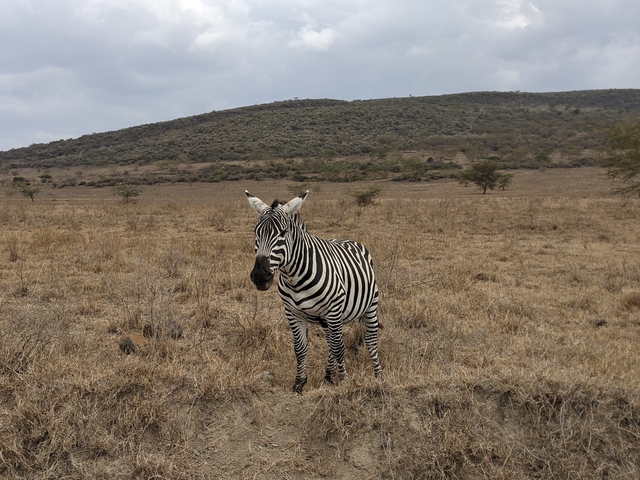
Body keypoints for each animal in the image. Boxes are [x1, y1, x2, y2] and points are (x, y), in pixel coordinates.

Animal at [245, 190, 382, 394]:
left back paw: (379, 376)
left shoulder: (333, 311)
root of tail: (347, 240)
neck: (294, 278)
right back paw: (328, 377)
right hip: (326, 320)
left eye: (283, 233)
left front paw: (345, 382)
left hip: (369, 307)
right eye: (256, 232)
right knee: (331, 344)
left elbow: (340, 347)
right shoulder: (292, 313)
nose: (260, 276)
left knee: (370, 341)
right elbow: (300, 349)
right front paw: (299, 384)